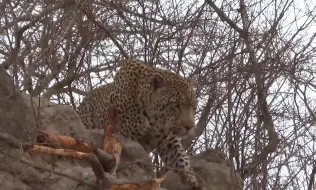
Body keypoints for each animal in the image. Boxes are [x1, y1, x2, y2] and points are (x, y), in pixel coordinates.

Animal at [77, 57, 200, 188]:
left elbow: (180, 156)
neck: (153, 119)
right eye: (175, 105)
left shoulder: (168, 139)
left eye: (193, 106)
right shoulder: (126, 138)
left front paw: (191, 179)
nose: (189, 127)